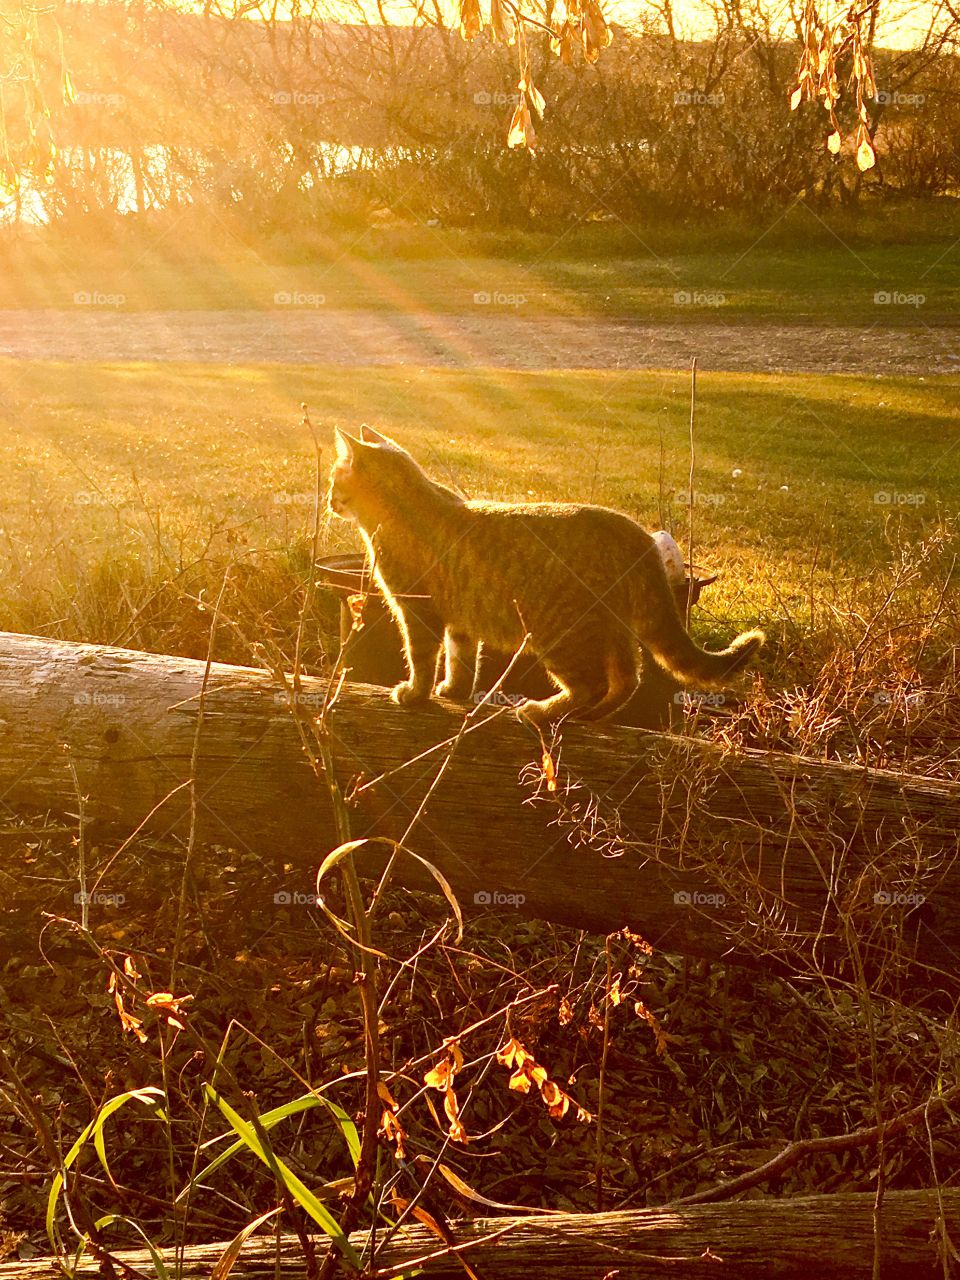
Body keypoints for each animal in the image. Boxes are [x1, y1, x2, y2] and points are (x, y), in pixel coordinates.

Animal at [330, 427, 768, 727]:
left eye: (335, 479)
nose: (330, 500)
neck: (406, 505)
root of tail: (633, 532)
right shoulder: (459, 620)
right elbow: (460, 659)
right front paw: (453, 690)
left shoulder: (417, 612)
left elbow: (422, 659)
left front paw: (415, 693)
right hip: (612, 629)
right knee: (628, 679)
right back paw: (593, 715)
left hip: (558, 634)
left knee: (590, 684)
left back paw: (541, 711)